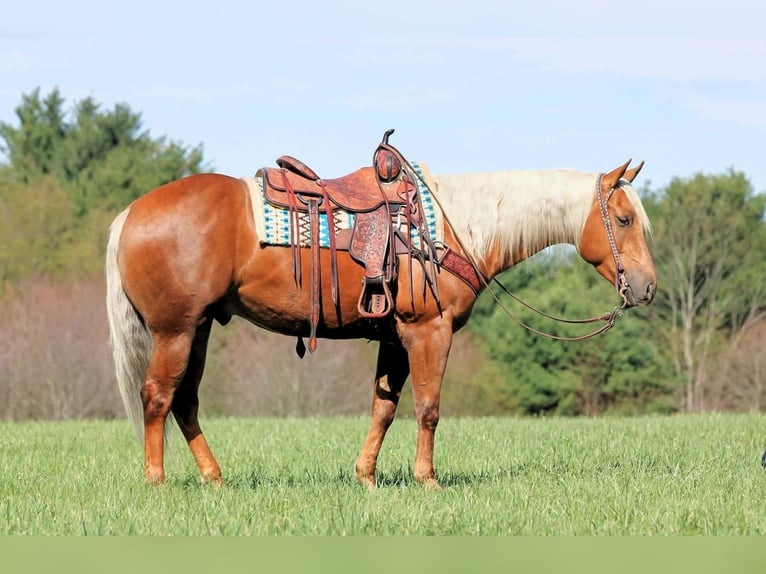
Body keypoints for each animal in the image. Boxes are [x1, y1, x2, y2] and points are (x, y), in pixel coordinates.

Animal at [105, 146, 656, 489]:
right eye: (624, 218)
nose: (647, 287)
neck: (453, 228)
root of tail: (131, 212)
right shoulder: (429, 332)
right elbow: (428, 409)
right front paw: (428, 480)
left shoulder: (395, 338)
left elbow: (383, 409)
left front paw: (367, 478)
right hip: (175, 331)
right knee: (157, 398)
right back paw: (157, 482)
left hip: (197, 330)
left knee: (185, 402)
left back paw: (214, 479)